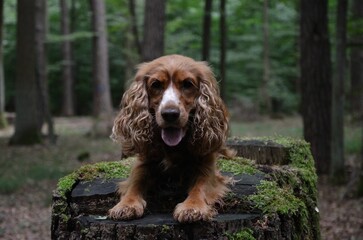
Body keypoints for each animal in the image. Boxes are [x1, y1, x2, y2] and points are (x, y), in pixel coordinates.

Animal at [109, 54, 235, 223]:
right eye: (156, 84)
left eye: (187, 84)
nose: (170, 114)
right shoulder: (144, 161)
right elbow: (134, 183)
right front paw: (126, 205)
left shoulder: (206, 164)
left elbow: (200, 186)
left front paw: (193, 207)